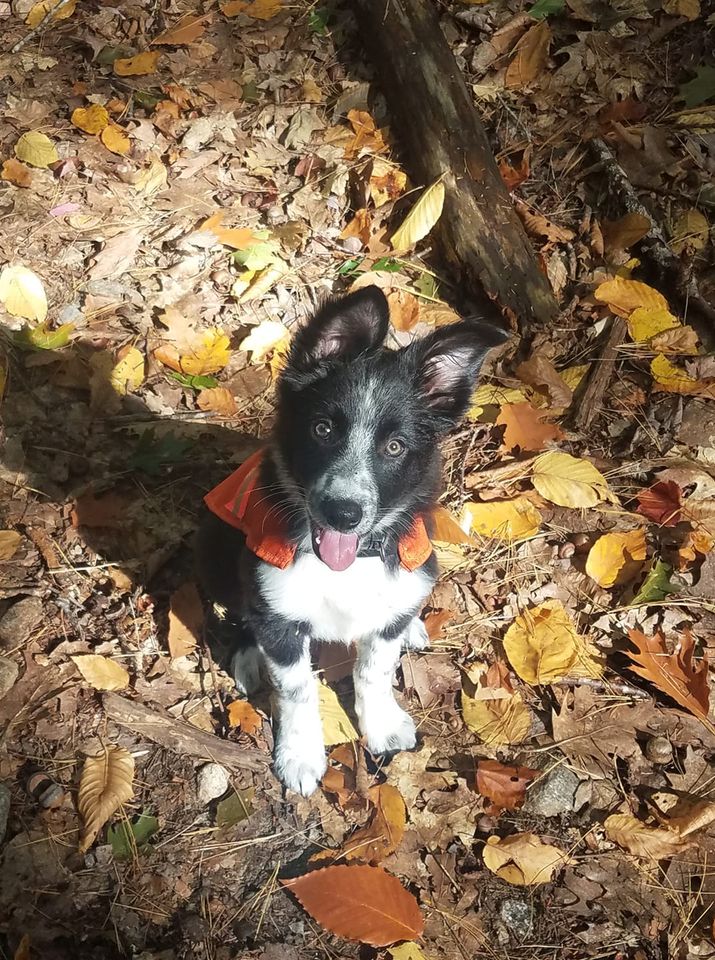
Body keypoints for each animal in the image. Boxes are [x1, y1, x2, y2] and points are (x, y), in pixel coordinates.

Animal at [196, 286, 507, 796]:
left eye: (395, 447)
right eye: (322, 429)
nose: (343, 513)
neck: (348, 563)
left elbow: (373, 669)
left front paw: (382, 725)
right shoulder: (277, 611)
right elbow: (297, 688)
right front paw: (300, 756)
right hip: (216, 549)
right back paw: (248, 658)